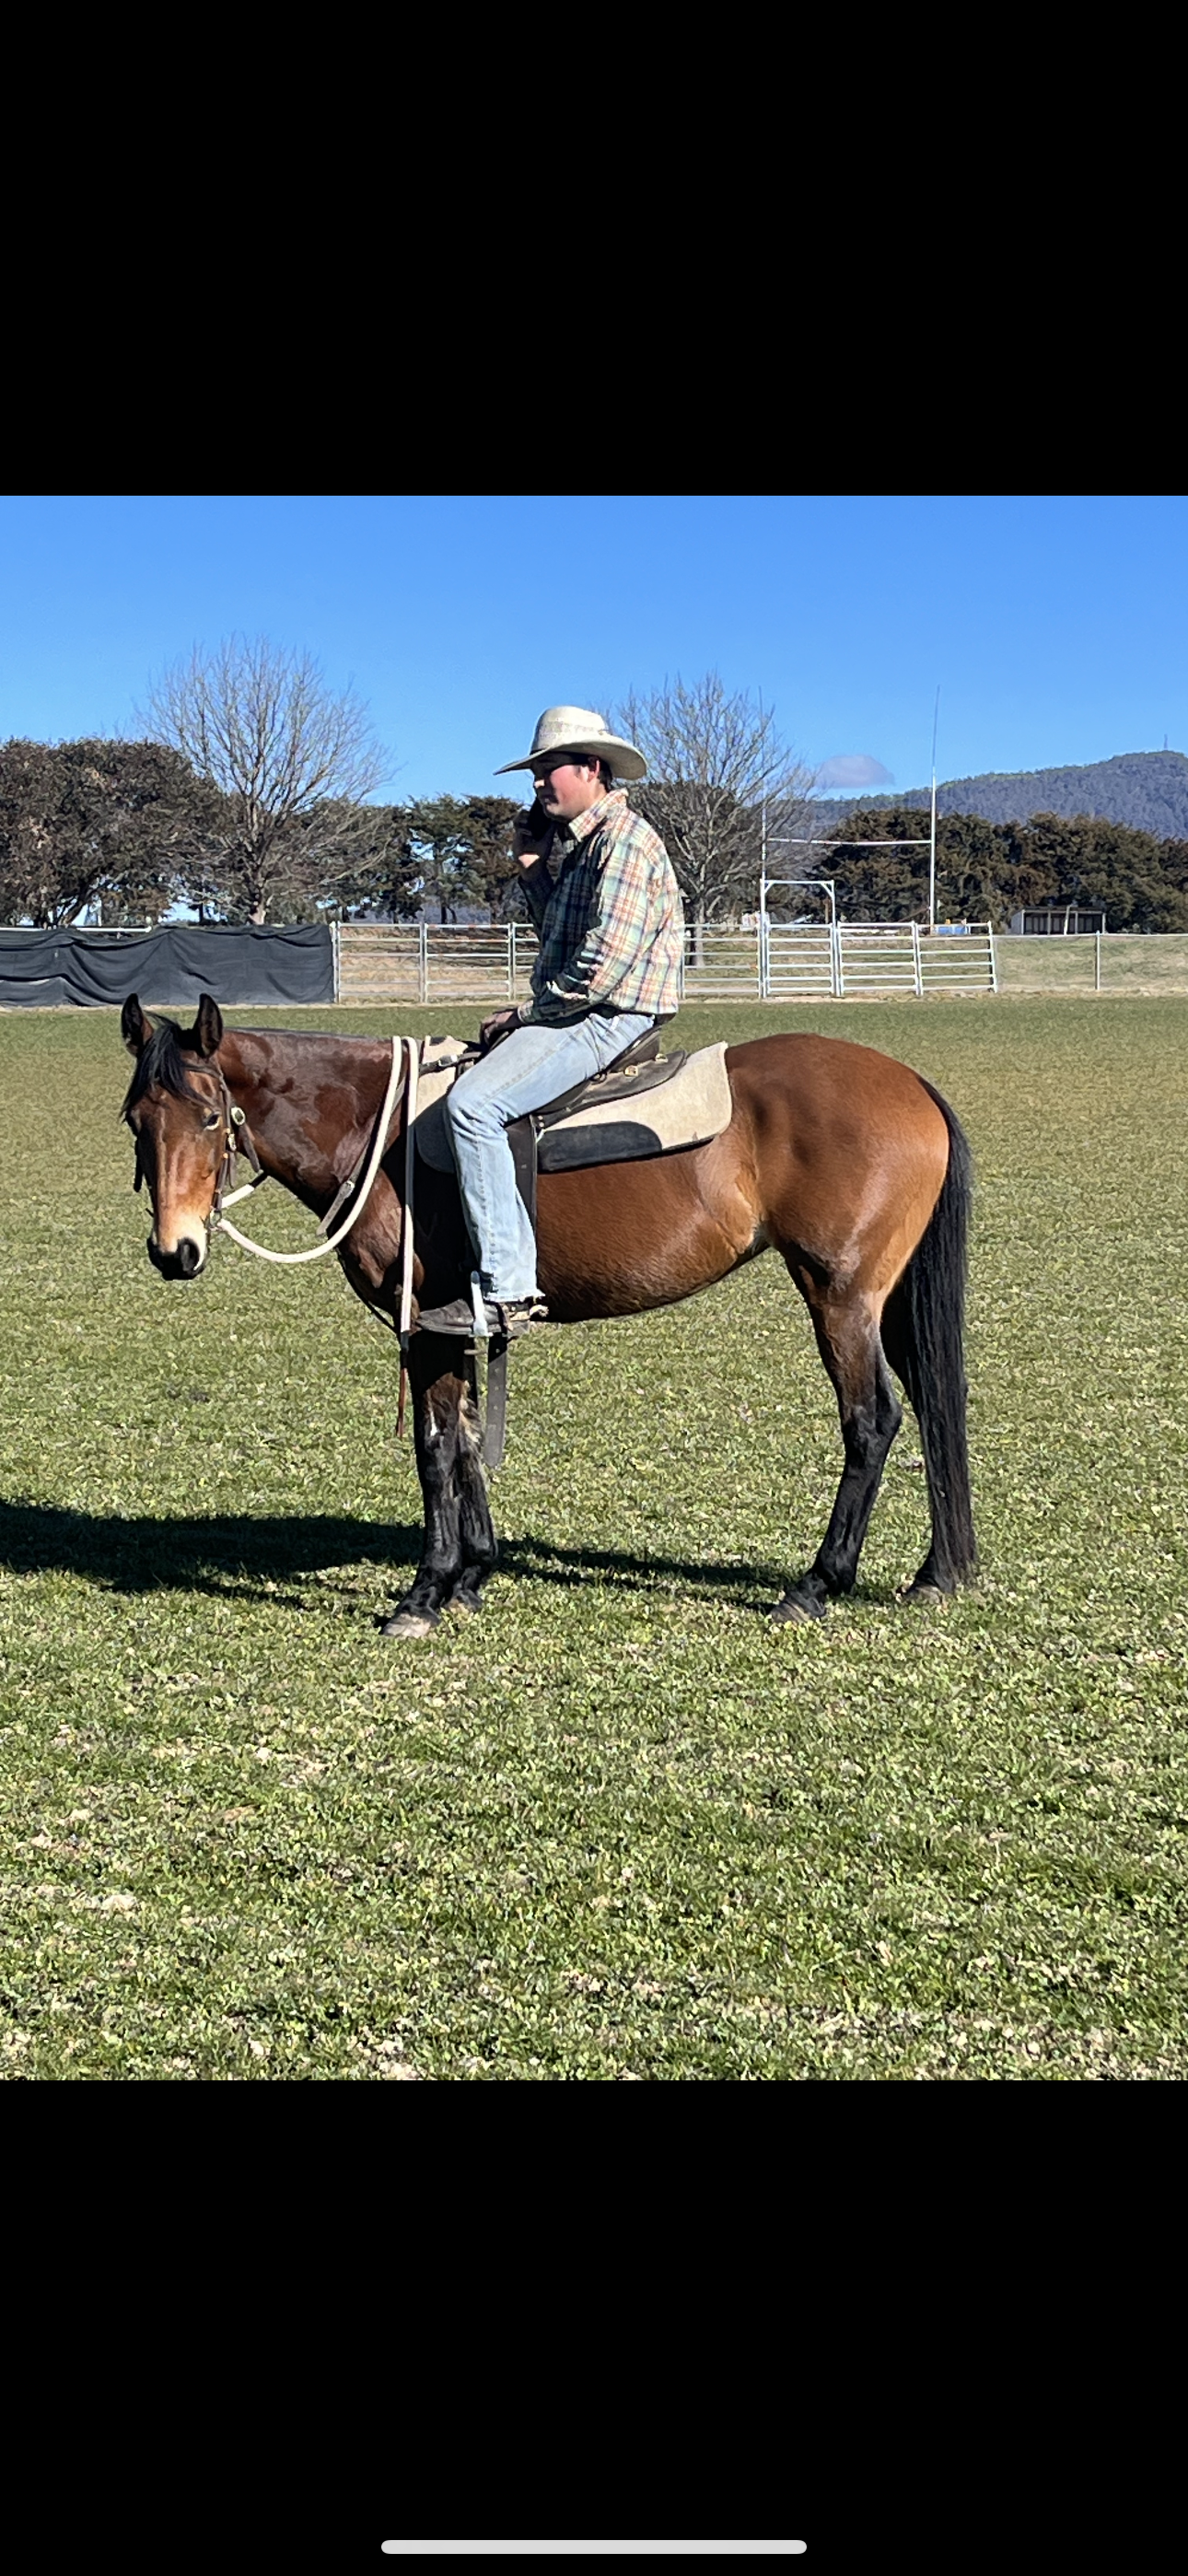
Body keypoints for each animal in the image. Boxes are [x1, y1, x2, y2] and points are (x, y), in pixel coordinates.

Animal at [119, 992, 976, 1638]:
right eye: (136, 1120)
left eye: (207, 1117)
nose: (175, 1250)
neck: (379, 1129)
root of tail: (910, 1082)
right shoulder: (458, 1328)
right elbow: (466, 1439)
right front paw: (472, 1574)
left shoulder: (424, 1326)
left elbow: (435, 1449)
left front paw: (425, 1592)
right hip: (883, 1303)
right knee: (935, 1405)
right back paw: (936, 1573)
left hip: (839, 1296)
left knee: (873, 1421)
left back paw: (815, 1584)